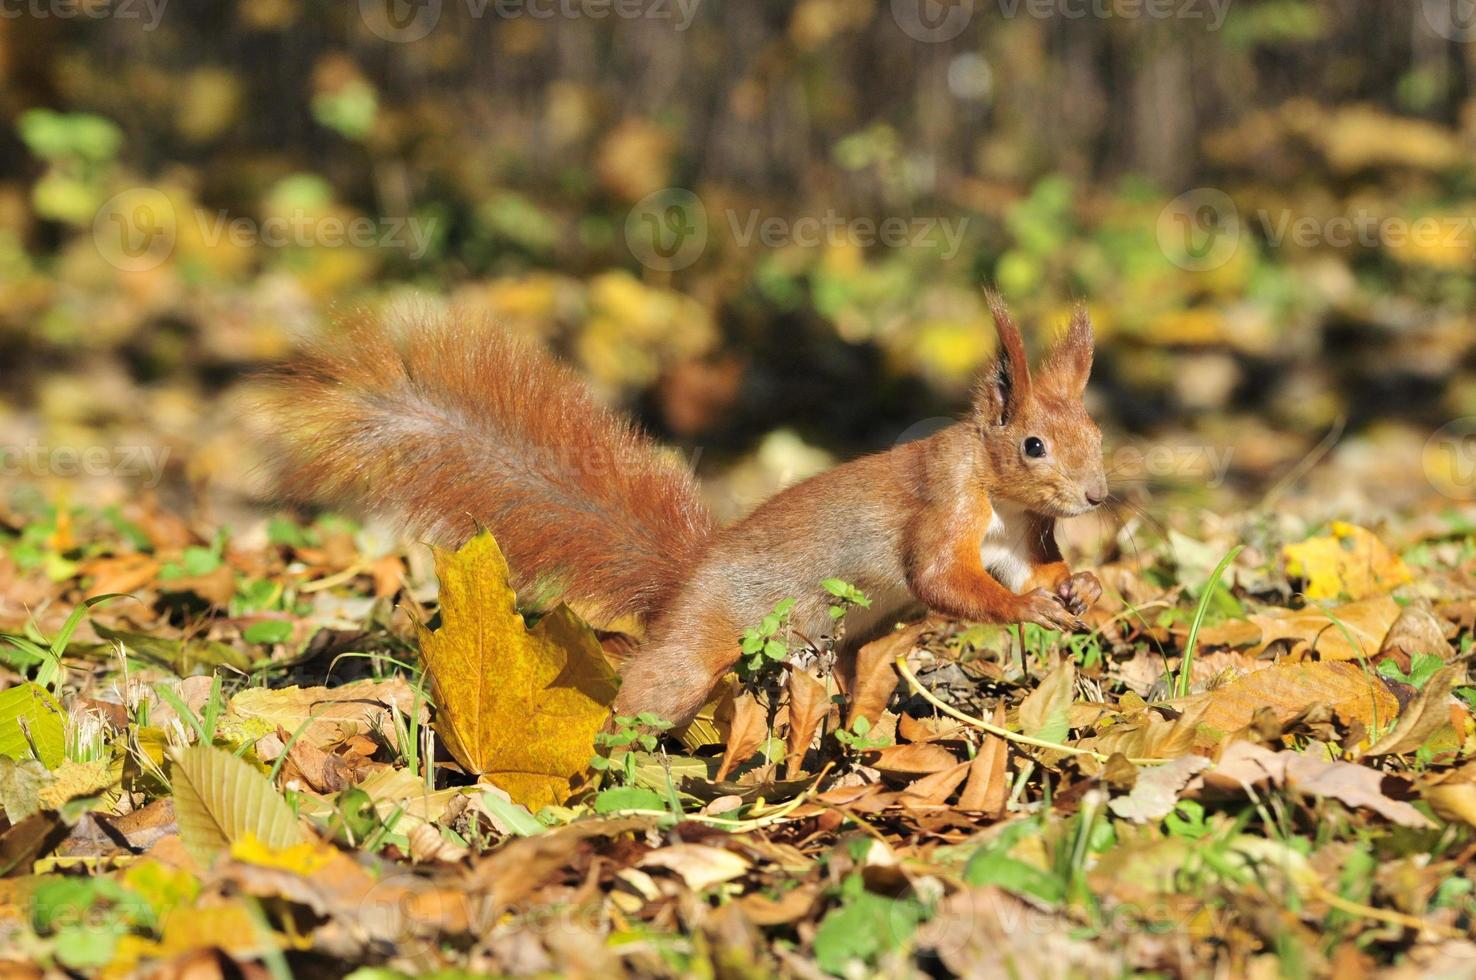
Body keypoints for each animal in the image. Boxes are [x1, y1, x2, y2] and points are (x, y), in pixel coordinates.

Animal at [261, 292, 1108, 727]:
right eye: (1033, 445)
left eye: (1097, 433)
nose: (1096, 495)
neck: (997, 496)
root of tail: (686, 581)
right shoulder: (941, 500)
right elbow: (937, 578)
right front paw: (1028, 612)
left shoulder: (1017, 539)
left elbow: (1025, 574)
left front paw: (1081, 588)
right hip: (702, 645)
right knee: (648, 687)